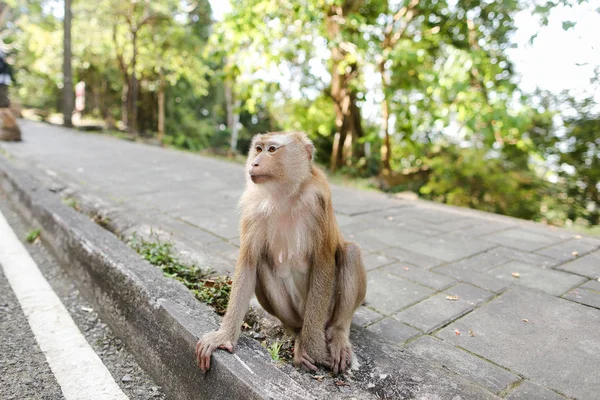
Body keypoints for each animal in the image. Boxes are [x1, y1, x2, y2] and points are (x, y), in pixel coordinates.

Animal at [196, 131, 366, 376]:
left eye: (272, 150)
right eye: (258, 149)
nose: (254, 163)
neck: (285, 195)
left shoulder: (318, 201)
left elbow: (323, 263)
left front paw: (314, 349)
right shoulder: (253, 209)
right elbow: (249, 264)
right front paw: (224, 336)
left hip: (325, 313)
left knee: (351, 252)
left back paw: (337, 334)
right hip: (295, 314)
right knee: (261, 265)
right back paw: (297, 334)